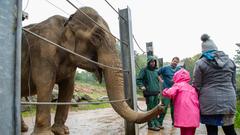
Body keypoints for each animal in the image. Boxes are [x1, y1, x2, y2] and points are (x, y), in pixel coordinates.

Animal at [21, 6, 163, 135]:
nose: (161, 106)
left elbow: (68, 88)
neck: (67, 21)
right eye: (97, 37)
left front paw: (62, 131)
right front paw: (46, 134)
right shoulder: (43, 49)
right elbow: (45, 83)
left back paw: (23, 128)